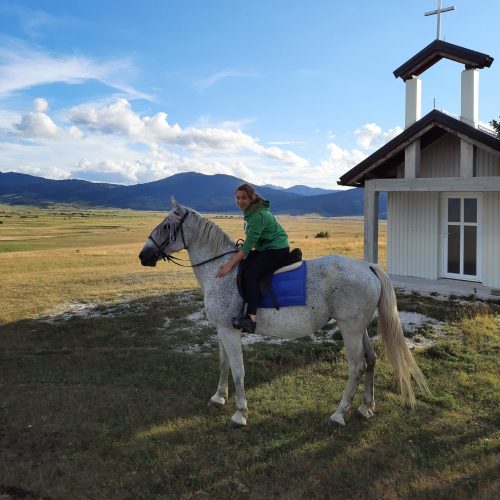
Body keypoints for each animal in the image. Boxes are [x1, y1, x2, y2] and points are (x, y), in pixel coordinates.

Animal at [139, 201, 428, 428]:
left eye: (166, 226)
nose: (143, 256)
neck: (221, 270)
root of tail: (368, 266)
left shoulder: (230, 331)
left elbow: (238, 370)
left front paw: (240, 414)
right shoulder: (221, 330)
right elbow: (223, 364)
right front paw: (219, 397)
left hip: (350, 329)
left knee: (357, 366)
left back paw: (338, 414)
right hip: (359, 328)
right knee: (371, 360)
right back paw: (366, 407)